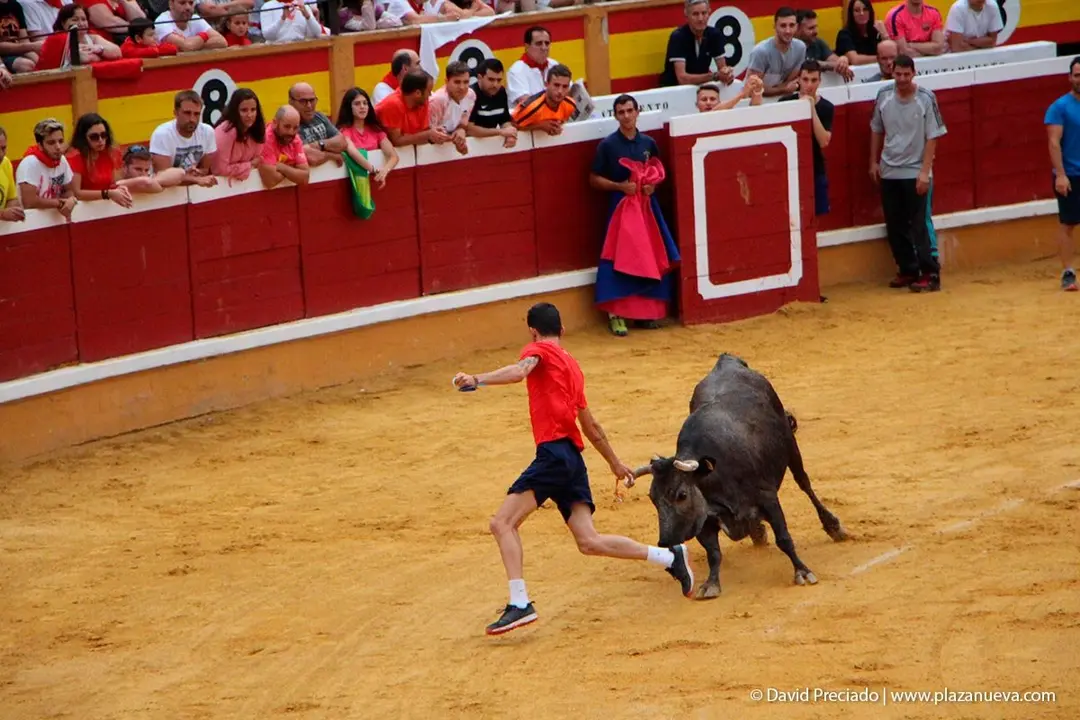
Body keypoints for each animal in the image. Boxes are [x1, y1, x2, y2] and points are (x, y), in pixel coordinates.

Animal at [632, 353, 848, 598]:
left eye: (681, 494)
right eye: (652, 498)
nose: (664, 541)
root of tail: (727, 360)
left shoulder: (768, 498)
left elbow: (783, 538)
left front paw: (802, 571)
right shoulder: (704, 518)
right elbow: (713, 553)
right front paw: (711, 584)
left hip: (792, 448)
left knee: (805, 484)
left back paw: (833, 527)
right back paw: (757, 531)